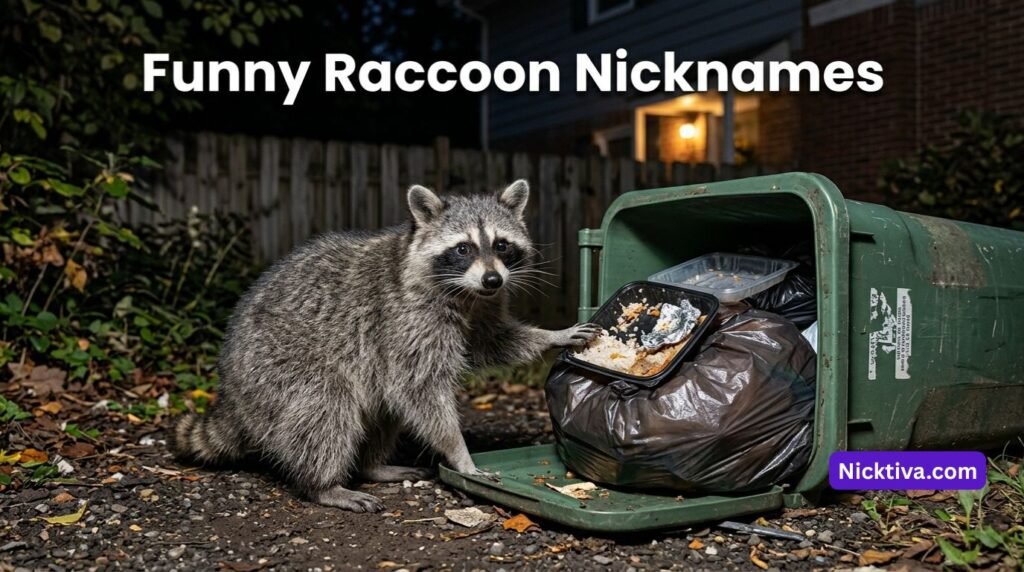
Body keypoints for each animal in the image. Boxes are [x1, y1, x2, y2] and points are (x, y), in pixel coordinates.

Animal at [171, 180, 601, 512]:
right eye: (463, 248)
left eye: (501, 245)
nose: (493, 280)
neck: (465, 293)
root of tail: (230, 388)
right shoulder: (404, 318)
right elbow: (421, 388)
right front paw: (458, 453)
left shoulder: (481, 305)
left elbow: (491, 342)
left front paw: (551, 335)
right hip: (276, 367)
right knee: (326, 407)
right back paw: (323, 484)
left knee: (381, 408)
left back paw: (372, 466)